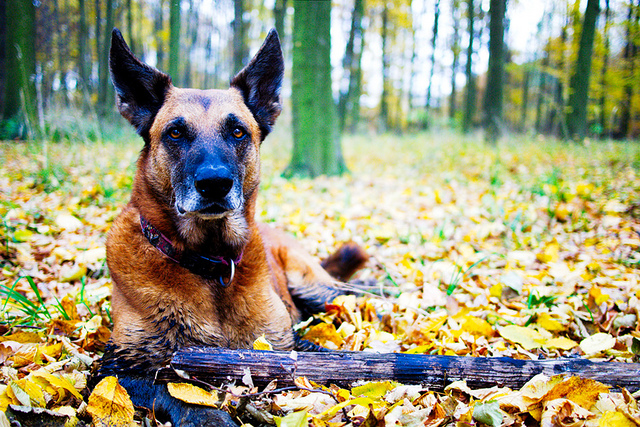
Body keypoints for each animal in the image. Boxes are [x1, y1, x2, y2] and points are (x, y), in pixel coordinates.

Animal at [94, 28, 364, 426]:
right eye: (175, 133)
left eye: (237, 132)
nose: (214, 184)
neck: (210, 263)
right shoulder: (114, 368)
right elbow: (178, 391)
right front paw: (212, 416)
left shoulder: (285, 345)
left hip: (314, 287)